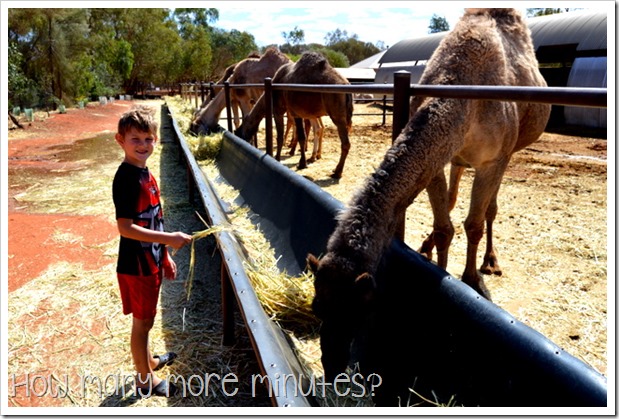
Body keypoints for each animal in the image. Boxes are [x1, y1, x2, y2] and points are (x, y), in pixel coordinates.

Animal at [236, 51, 354, 179]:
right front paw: (302, 162)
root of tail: (347, 85)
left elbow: (282, 136)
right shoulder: (296, 112)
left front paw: (278, 158)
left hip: (337, 114)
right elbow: (301, 136)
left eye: (243, 130)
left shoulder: (279, 110)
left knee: (345, 143)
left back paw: (337, 172)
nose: (241, 137)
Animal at [308, 7, 552, 380]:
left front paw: (470, 280)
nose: (333, 364)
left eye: (360, 307)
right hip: (459, 158)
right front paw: (438, 263)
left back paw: (490, 262)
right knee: (454, 195)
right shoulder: (438, 159)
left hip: (509, 151)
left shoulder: (493, 159)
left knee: (490, 209)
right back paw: (428, 245)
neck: (463, 96)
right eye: (317, 306)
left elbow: (473, 224)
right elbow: (444, 227)